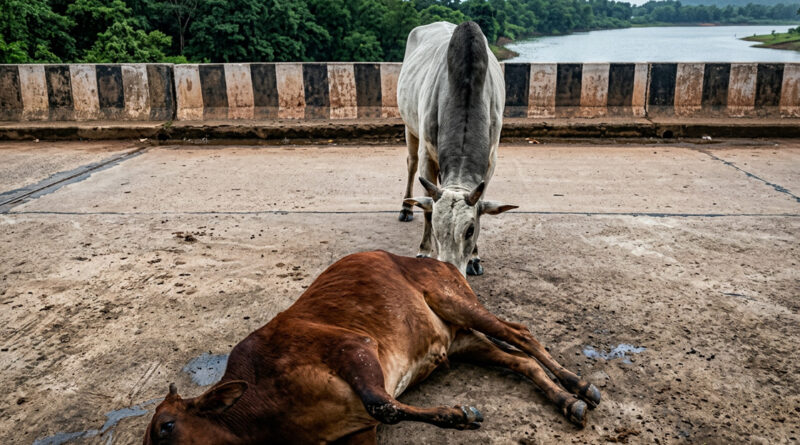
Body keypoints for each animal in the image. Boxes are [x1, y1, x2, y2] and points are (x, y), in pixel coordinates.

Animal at [144, 251, 600, 444]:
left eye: (166, 427)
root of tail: (438, 259)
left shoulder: (352, 348)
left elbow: (383, 404)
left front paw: (459, 415)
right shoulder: (357, 433)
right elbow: (381, 410)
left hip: (454, 301)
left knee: (522, 334)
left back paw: (579, 386)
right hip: (463, 341)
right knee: (520, 361)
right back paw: (567, 401)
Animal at [397, 21, 516, 277]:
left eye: (470, 230)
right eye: (436, 228)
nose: (450, 270)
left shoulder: (491, 160)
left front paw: (474, 257)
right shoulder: (426, 154)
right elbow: (427, 209)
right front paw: (424, 250)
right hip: (409, 126)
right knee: (410, 164)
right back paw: (406, 208)